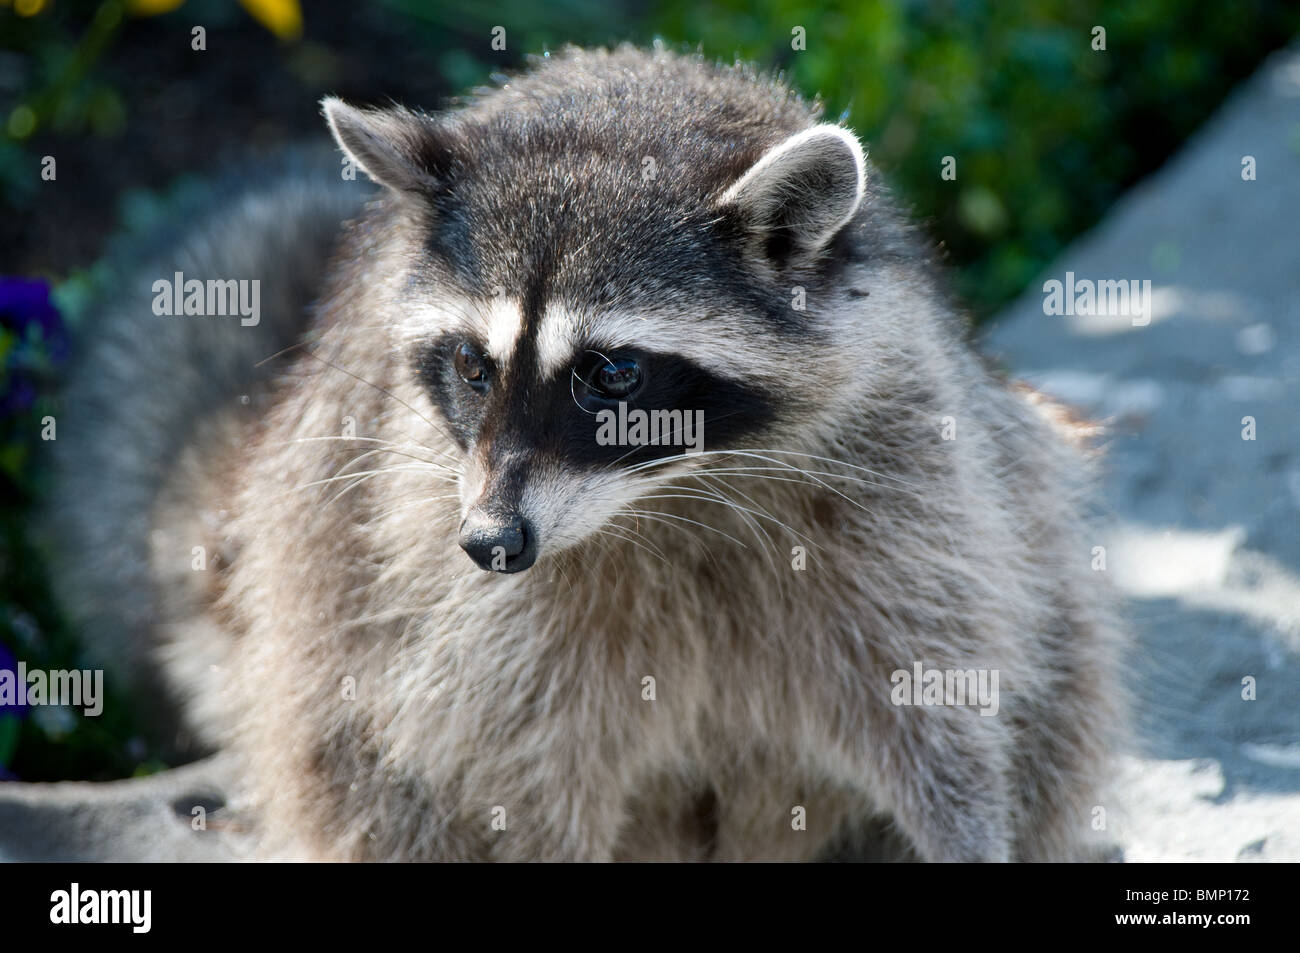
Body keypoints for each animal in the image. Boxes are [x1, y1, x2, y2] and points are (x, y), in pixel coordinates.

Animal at [50, 46, 1123, 863]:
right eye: (472, 366)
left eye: (613, 374)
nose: (491, 543)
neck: (663, 495)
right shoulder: (453, 592)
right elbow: (510, 771)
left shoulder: (904, 480)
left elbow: (940, 703)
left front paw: (971, 825)